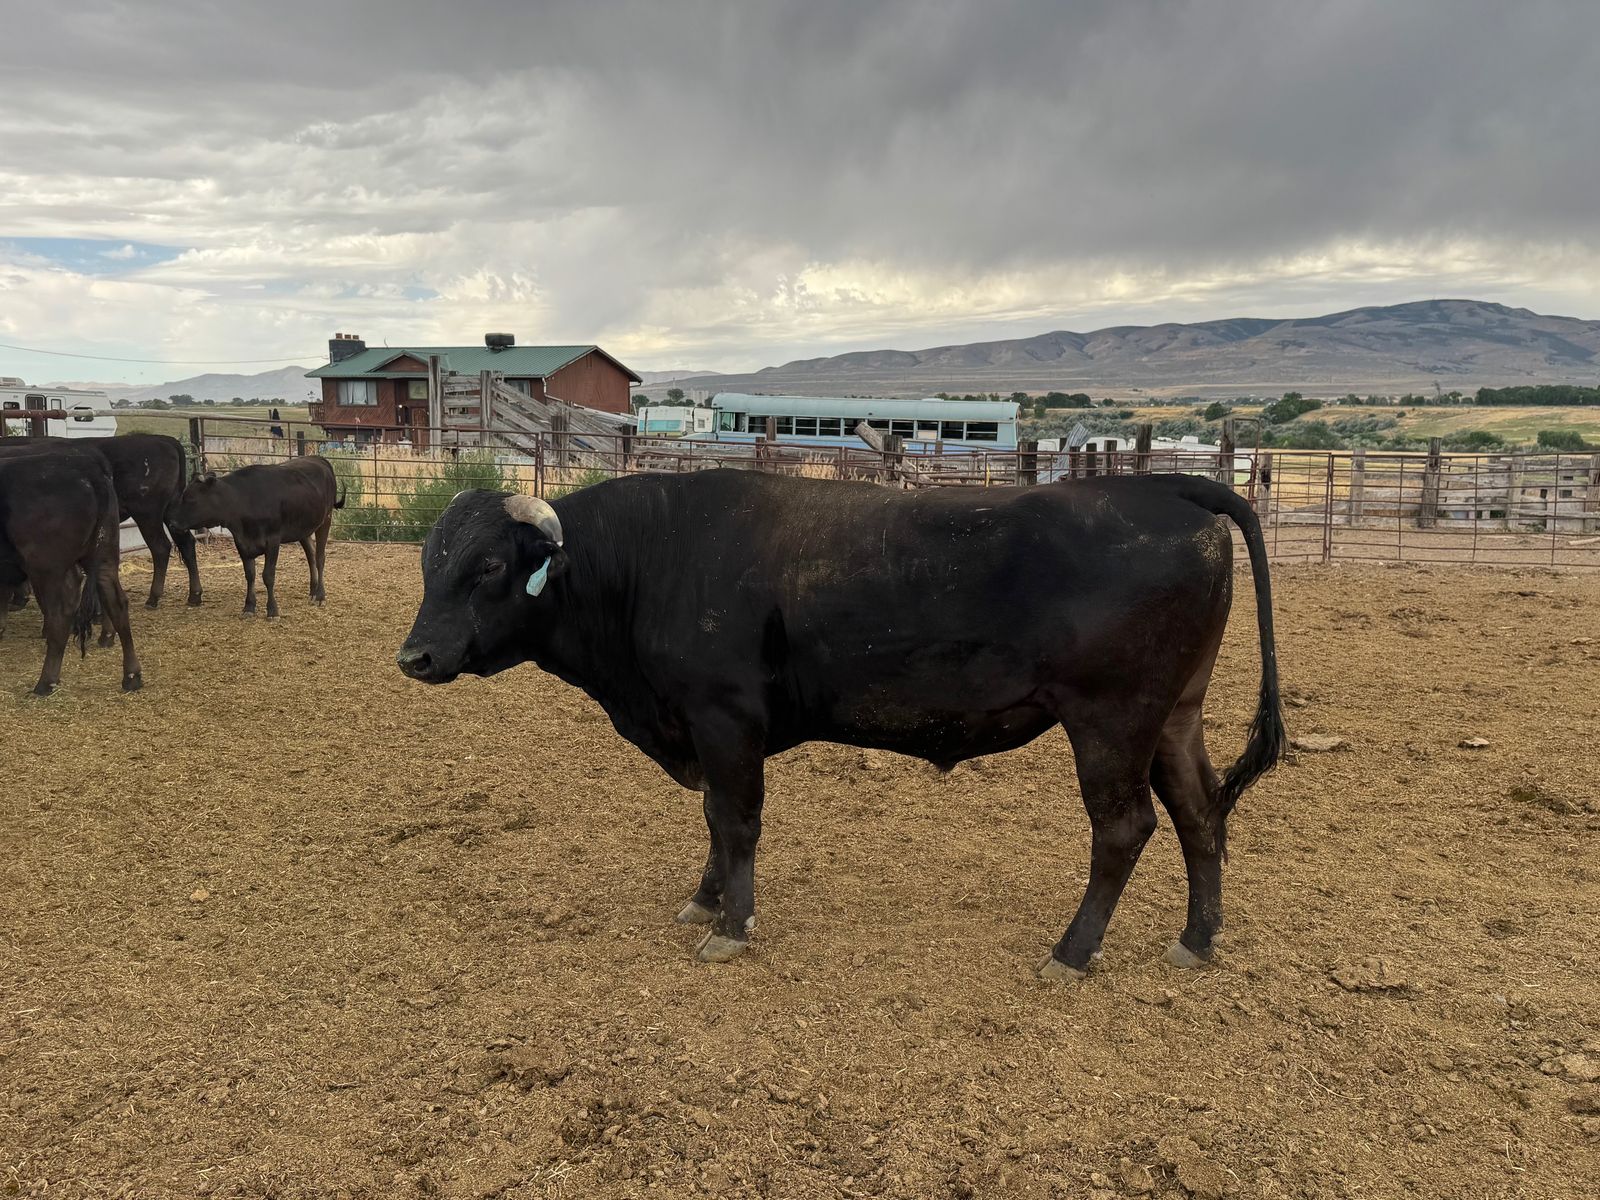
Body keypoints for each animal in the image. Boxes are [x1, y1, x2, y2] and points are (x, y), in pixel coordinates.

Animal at [0, 434, 202, 613]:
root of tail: (165, 439)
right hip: (173, 510)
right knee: (186, 543)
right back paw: (195, 595)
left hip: (147, 513)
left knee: (160, 547)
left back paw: (153, 598)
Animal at [0, 449, 142, 695]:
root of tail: (86, 465)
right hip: (103, 556)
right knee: (116, 602)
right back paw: (131, 676)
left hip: (47, 567)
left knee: (60, 612)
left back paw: (46, 682)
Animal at [171, 456, 342, 618]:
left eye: (191, 499)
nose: (172, 523)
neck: (243, 500)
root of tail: (318, 459)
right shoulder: (241, 542)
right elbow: (250, 575)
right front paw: (249, 606)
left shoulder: (273, 540)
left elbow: (268, 575)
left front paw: (272, 610)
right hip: (303, 528)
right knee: (311, 556)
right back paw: (313, 591)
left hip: (326, 519)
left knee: (319, 557)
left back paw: (320, 595)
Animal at [395, 470, 1285, 980]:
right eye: (431, 562)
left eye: (488, 565)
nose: (415, 657)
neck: (654, 554)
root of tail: (1166, 486)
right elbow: (713, 819)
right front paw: (705, 900)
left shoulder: (725, 717)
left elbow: (737, 820)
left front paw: (733, 925)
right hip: (1173, 717)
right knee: (1200, 815)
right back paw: (1197, 940)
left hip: (1111, 719)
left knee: (1125, 828)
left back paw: (1072, 953)